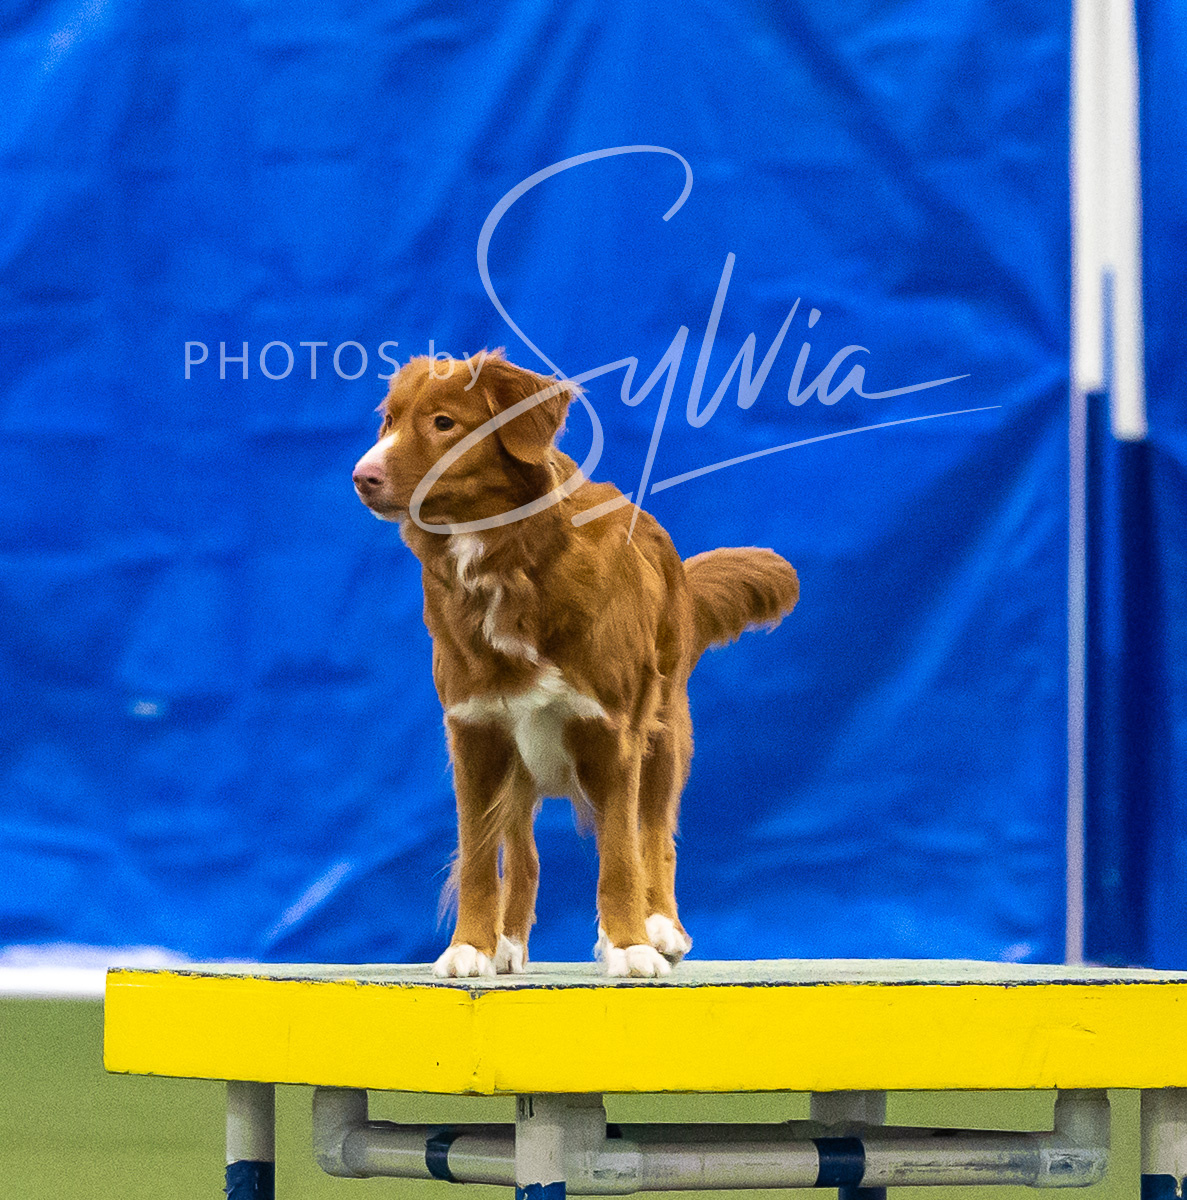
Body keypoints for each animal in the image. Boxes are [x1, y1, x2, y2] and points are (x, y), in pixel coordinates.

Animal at [352, 350, 798, 977]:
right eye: (387, 422)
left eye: (443, 423)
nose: (361, 476)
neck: (508, 560)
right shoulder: (475, 733)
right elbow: (478, 859)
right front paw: (471, 947)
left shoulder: (613, 734)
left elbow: (621, 855)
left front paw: (630, 946)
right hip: (518, 762)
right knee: (525, 855)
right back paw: (509, 942)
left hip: (665, 736)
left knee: (655, 835)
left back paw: (661, 926)